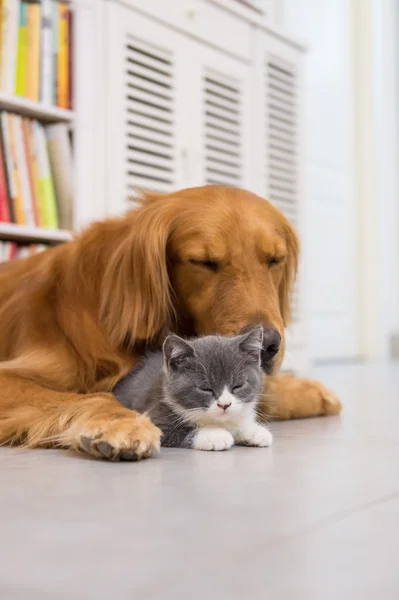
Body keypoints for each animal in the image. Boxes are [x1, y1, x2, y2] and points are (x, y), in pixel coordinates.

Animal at [114, 328, 274, 450]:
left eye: (238, 386)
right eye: (206, 389)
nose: (225, 405)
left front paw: (254, 431)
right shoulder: (155, 415)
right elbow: (177, 430)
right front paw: (216, 435)